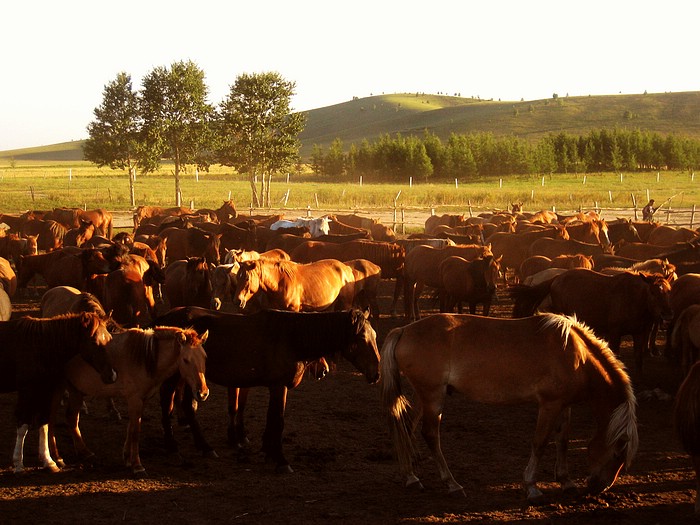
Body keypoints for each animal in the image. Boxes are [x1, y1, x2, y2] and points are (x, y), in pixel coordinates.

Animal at [0, 314, 115, 472]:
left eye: (109, 338)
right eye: (93, 341)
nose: (112, 375)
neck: (39, 346)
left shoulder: (46, 390)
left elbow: (44, 422)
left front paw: (49, 461)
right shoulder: (26, 392)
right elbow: (23, 424)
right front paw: (18, 463)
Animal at [155, 304, 380, 468]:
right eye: (362, 338)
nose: (376, 373)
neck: (292, 338)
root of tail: (165, 318)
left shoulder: (276, 387)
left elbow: (272, 418)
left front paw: (269, 453)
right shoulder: (279, 386)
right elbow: (278, 420)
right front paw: (280, 460)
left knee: (187, 406)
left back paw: (204, 447)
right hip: (175, 376)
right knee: (167, 404)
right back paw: (173, 447)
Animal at [382, 312, 640, 500]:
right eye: (618, 452)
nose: (600, 488)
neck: (577, 355)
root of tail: (404, 330)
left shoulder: (564, 405)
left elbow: (563, 440)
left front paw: (566, 481)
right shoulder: (549, 405)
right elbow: (540, 442)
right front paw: (532, 487)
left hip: (424, 396)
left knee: (407, 428)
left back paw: (411, 477)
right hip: (433, 396)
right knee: (430, 435)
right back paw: (452, 484)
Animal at [512, 268, 676, 374]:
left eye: (669, 291)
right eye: (653, 292)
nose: (668, 316)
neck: (633, 298)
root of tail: (556, 278)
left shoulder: (639, 333)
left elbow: (639, 359)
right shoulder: (614, 333)